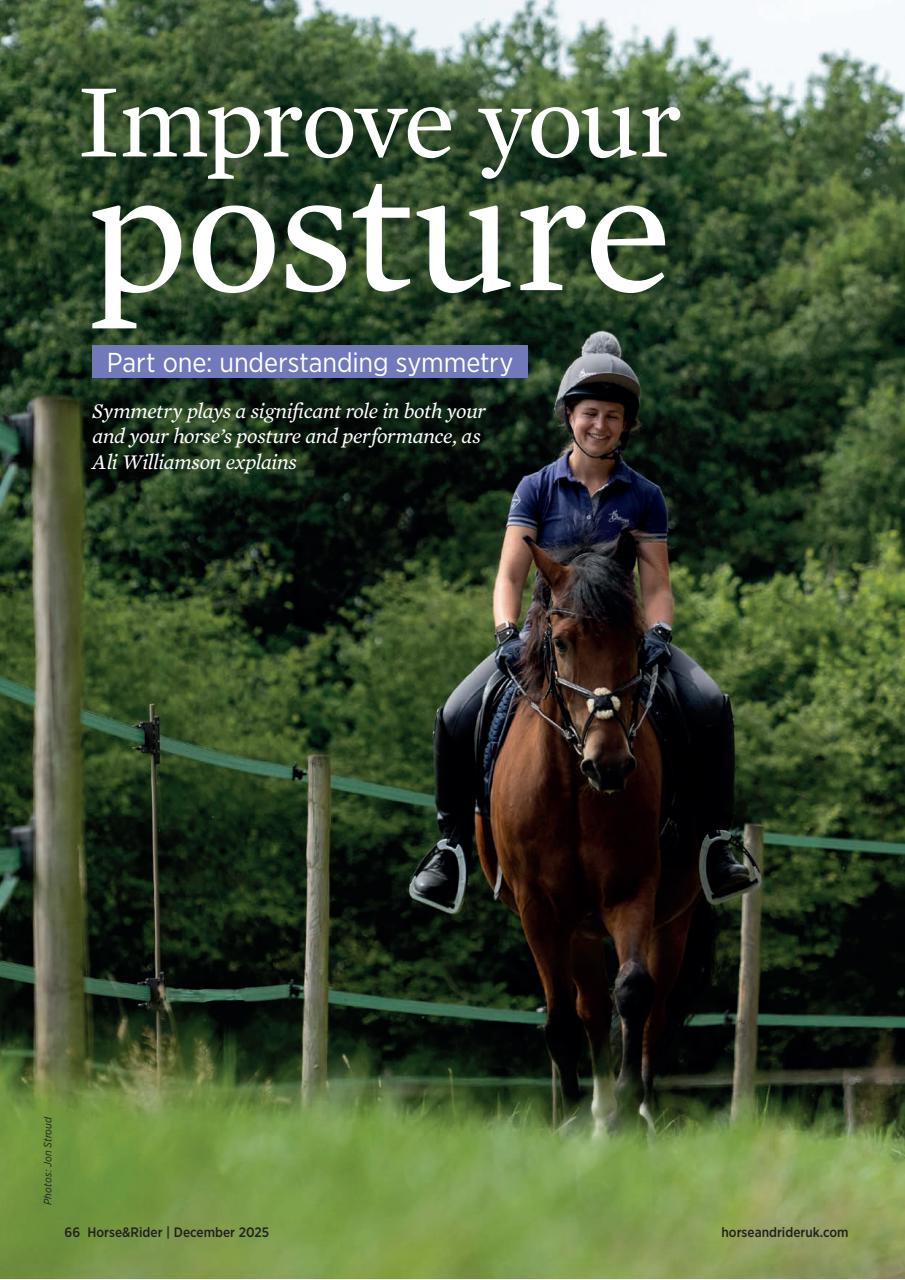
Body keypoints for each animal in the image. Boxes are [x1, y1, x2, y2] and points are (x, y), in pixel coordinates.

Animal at [475, 530, 710, 1134]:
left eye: (633, 642)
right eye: (560, 643)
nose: (609, 765)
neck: (574, 791)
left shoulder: (632, 891)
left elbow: (633, 991)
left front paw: (626, 1102)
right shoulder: (539, 908)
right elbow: (562, 1015)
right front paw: (575, 1113)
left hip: (671, 918)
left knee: (654, 1009)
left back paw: (636, 1110)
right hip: (577, 925)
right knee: (588, 1007)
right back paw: (599, 1115)